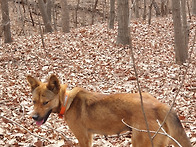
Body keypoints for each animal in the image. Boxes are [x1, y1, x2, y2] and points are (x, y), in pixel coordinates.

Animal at [26, 75, 191, 146]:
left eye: (45, 102)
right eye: (33, 102)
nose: (34, 117)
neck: (67, 102)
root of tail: (160, 105)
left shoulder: (83, 138)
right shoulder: (90, 137)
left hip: (141, 142)